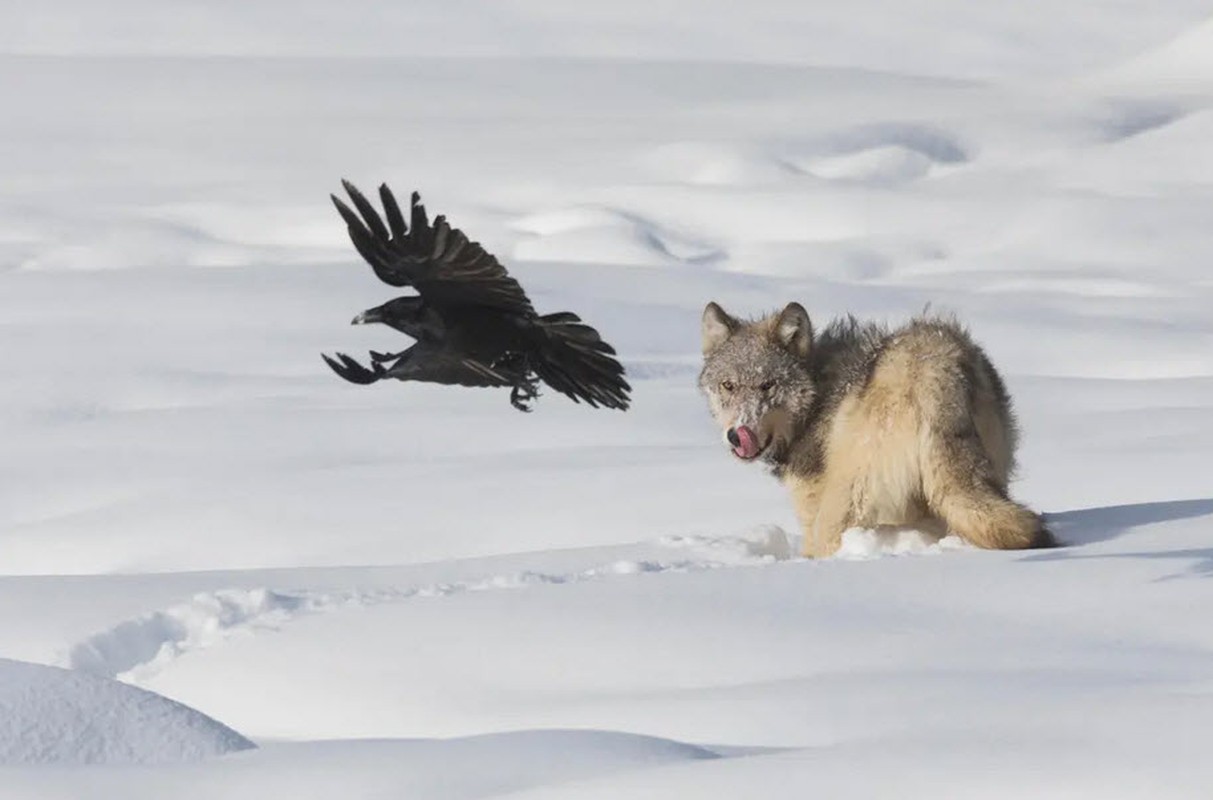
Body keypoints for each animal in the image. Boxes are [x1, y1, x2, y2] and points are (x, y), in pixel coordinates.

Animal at [703, 303, 1052, 560]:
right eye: (728, 386)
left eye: (768, 385)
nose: (737, 434)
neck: (817, 393)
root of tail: (931, 372)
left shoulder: (812, 510)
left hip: (843, 512)